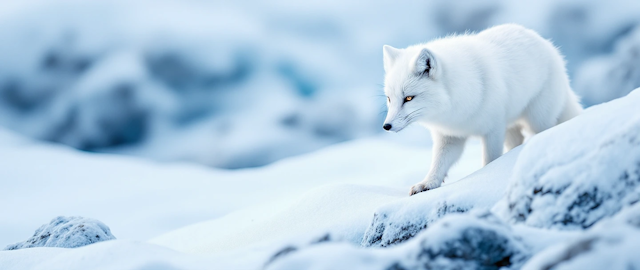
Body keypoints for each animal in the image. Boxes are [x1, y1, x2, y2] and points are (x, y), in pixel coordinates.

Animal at [382, 23, 584, 196]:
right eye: (390, 99)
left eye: (409, 98)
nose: (386, 126)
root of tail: (547, 44)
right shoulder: (450, 136)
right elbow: (438, 163)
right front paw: (427, 183)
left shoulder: (493, 130)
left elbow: (490, 160)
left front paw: (486, 177)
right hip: (511, 127)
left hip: (537, 120)